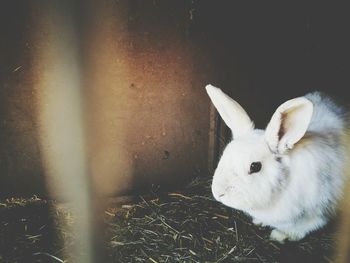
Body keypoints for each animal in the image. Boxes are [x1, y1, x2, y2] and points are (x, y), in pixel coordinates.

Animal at [205, 84, 348, 243]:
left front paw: (280, 235)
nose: (218, 193)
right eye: (224, 154)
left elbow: (307, 225)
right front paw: (259, 221)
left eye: (255, 166)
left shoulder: (317, 212)